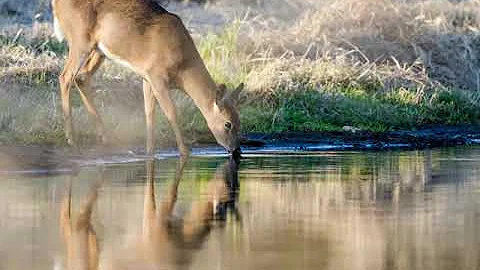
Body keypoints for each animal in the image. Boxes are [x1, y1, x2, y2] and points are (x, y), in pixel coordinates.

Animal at [51, 0, 244, 156]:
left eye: (239, 120)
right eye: (228, 124)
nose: (236, 150)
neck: (183, 67)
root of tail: (56, 3)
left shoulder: (147, 78)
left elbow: (149, 112)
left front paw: (150, 151)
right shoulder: (157, 76)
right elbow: (171, 112)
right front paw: (184, 151)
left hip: (99, 50)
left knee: (81, 77)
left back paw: (105, 137)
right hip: (80, 40)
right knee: (65, 77)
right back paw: (71, 139)